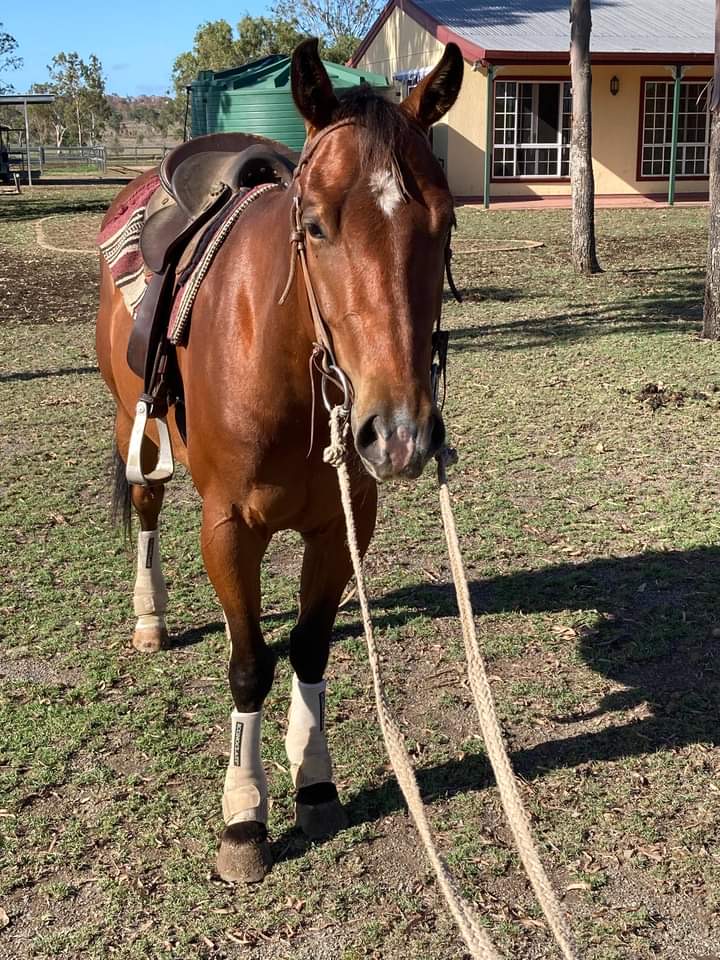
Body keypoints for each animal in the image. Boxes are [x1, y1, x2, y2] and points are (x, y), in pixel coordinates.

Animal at [96, 38, 463, 883]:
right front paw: (244, 816)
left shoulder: (341, 525)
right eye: (317, 226)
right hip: (138, 429)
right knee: (146, 510)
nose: (399, 432)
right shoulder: (229, 528)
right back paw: (149, 616)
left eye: (445, 219)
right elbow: (248, 664)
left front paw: (316, 781)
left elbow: (307, 647)